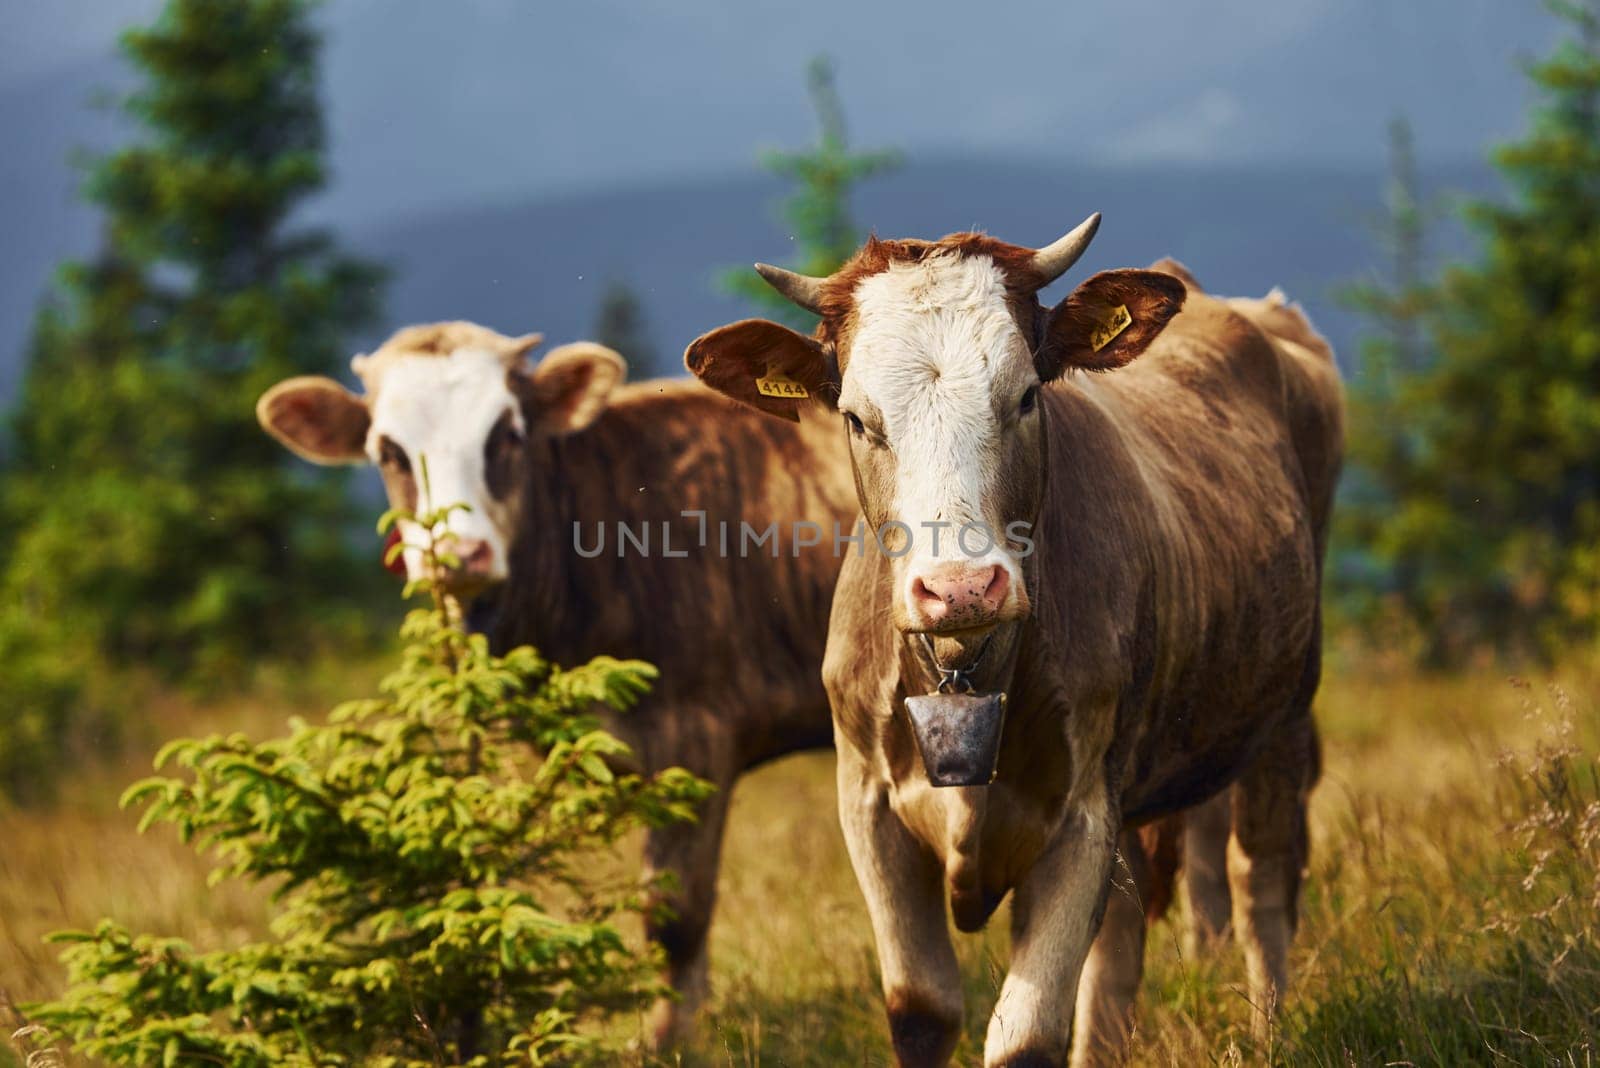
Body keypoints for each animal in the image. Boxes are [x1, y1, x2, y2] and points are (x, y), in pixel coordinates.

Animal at [252, 321, 864, 1048]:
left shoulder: (696, 736)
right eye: (388, 451)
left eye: (506, 435)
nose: (457, 554)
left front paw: (666, 1042)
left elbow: (674, 918)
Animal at [681, 219, 1344, 1068]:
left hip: (1283, 717)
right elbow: (923, 1009)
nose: (962, 587)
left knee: (1262, 883)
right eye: (858, 419)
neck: (969, 673)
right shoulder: (867, 806)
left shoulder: (1083, 813)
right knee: (1123, 940)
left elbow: (1026, 1035)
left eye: (1026, 395)